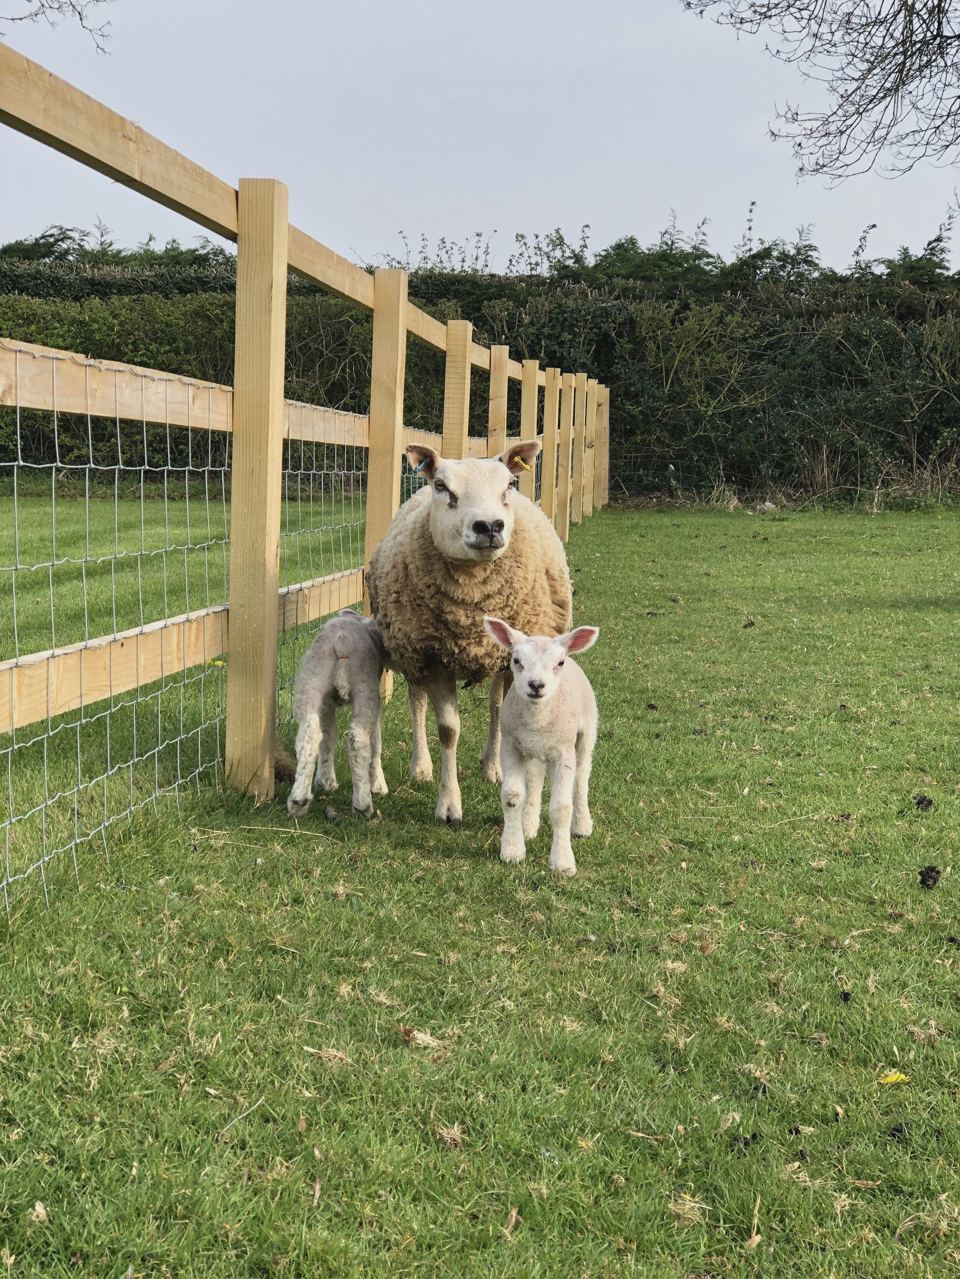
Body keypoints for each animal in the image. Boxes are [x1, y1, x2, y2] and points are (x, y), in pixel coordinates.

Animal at [286, 608, 388, 819]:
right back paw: (362, 804)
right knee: (358, 739)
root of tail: (342, 641)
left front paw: (325, 780)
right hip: (365, 689)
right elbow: (376, 741)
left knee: (309, 736)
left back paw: (299, 800)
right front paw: (378, 784)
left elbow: (328, 737)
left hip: (311, 682)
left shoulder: (327, 704)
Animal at [366, 439, 572, 827]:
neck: (471, 608)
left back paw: (492, 766)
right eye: (442, 486)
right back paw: (421, 767)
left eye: (509, 485)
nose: (488, 526)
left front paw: (504, 775)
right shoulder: (432, 657)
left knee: (496, 707)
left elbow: (504, 715)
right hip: (410, 650)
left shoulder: (516, 658)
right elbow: (448, 730)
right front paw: (449, 805)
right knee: (417, 701)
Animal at [483, 616, 599, 876]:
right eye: (516, 660)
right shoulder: (510, 746)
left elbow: (562, 808)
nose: (536, 685)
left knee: (582, 776)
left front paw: (563, 862)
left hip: (586, 732)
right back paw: (528, 824)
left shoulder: (564, 752)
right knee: (535, 780)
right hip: (533, 751)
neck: (537, 719)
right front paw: (512, 850)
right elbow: (512, 796)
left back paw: (582, 825)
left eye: (559, 662)